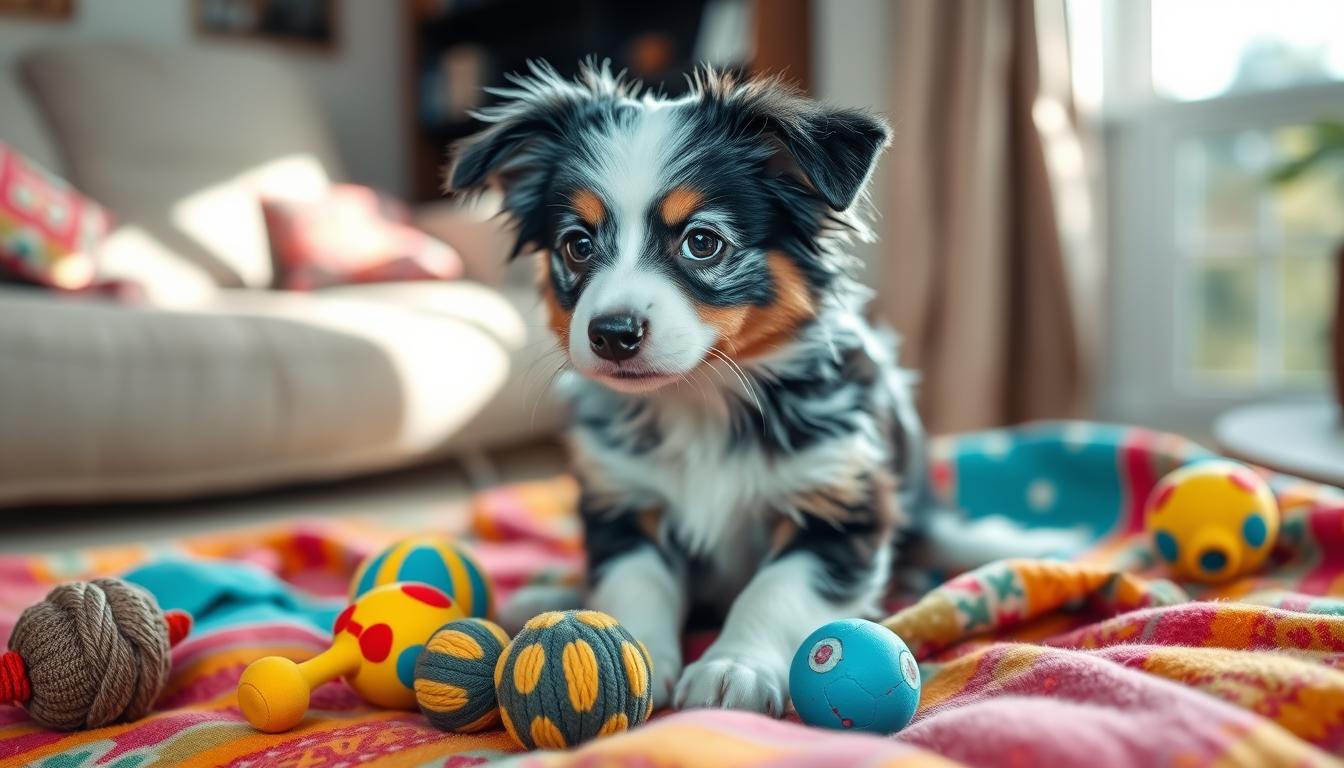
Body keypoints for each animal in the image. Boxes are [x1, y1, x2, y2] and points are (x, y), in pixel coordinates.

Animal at [451, 63, 935, 720]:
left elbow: (776, 589)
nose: (612, 333)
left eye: (702, 242)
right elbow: (637, 582)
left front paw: (734, 666)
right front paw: (630, 653)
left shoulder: (843, 502)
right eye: (577, 245)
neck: (700, 400)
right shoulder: (623, 500)